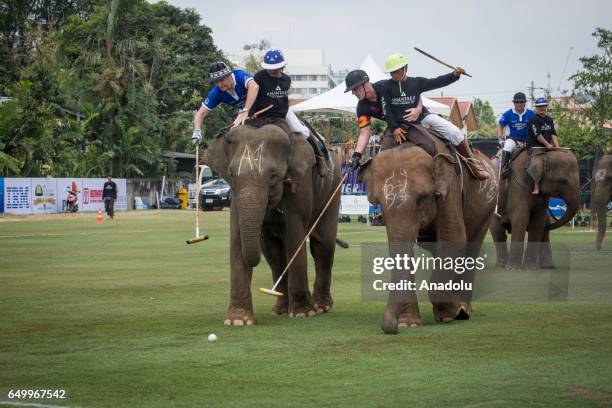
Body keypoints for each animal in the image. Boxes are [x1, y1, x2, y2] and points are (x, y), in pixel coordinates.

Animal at [203, 123, 342, 326]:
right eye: (231, 175)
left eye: (273, 176)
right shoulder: (235, 195)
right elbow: (238, 238)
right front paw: (238, 321)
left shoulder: (301, 182)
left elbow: (295, 232)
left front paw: (303, 313)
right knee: (273, 253)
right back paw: (280, 309)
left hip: (333, 189)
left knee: (323, 245)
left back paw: (321, 307)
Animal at [358, 135, 498, 334]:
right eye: (379, 203)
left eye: (421, 199)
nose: (389, 327)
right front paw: (408, 323)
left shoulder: (450, 191)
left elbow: (454, 240)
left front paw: (452, 312)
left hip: (488, 206)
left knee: (471, 247)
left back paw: (464, 309)